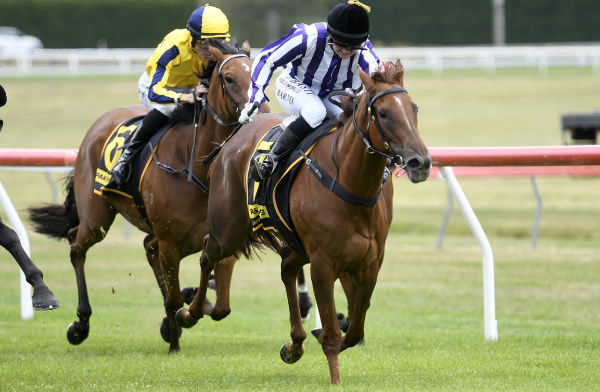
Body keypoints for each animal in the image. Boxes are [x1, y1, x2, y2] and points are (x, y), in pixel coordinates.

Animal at [27, 47, 253, 354]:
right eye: (229, 78)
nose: (259, 109)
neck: (196, 166)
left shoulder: (218, 240)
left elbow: (219, 305)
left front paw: (187, 306)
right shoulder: (171, 242)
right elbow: (176, 298)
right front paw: (175, 340)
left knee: (147, 248)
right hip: (96, 218)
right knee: (76, 246)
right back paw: (81, 324)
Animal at [177, 59, 432, 384]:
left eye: (414, 109)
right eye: (384, 113)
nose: (420, 162)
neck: (350, 184)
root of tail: (234, 138)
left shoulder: (370, 264)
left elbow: (354, 329)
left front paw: (314, 337)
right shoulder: (323, 265)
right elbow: (335, 334)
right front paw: (335, 379)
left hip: (295, 243)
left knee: (286, 269)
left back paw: (294, 344)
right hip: (229, 229)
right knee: (209, 251)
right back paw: (188, 312)